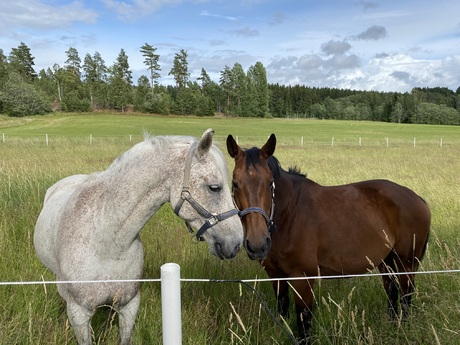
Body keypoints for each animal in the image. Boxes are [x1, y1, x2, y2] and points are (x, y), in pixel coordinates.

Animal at [226, 133, 432, 342]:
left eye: (270, 183)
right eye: (235, 184)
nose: (258, 244)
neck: (290, 213)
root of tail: (417, 198)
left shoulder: (303, 278)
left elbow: (304, 323)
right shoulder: (275, 275)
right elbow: (283, 312)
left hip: (407, 263)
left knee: (406, 296)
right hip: (387, 261)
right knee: (392, 292)